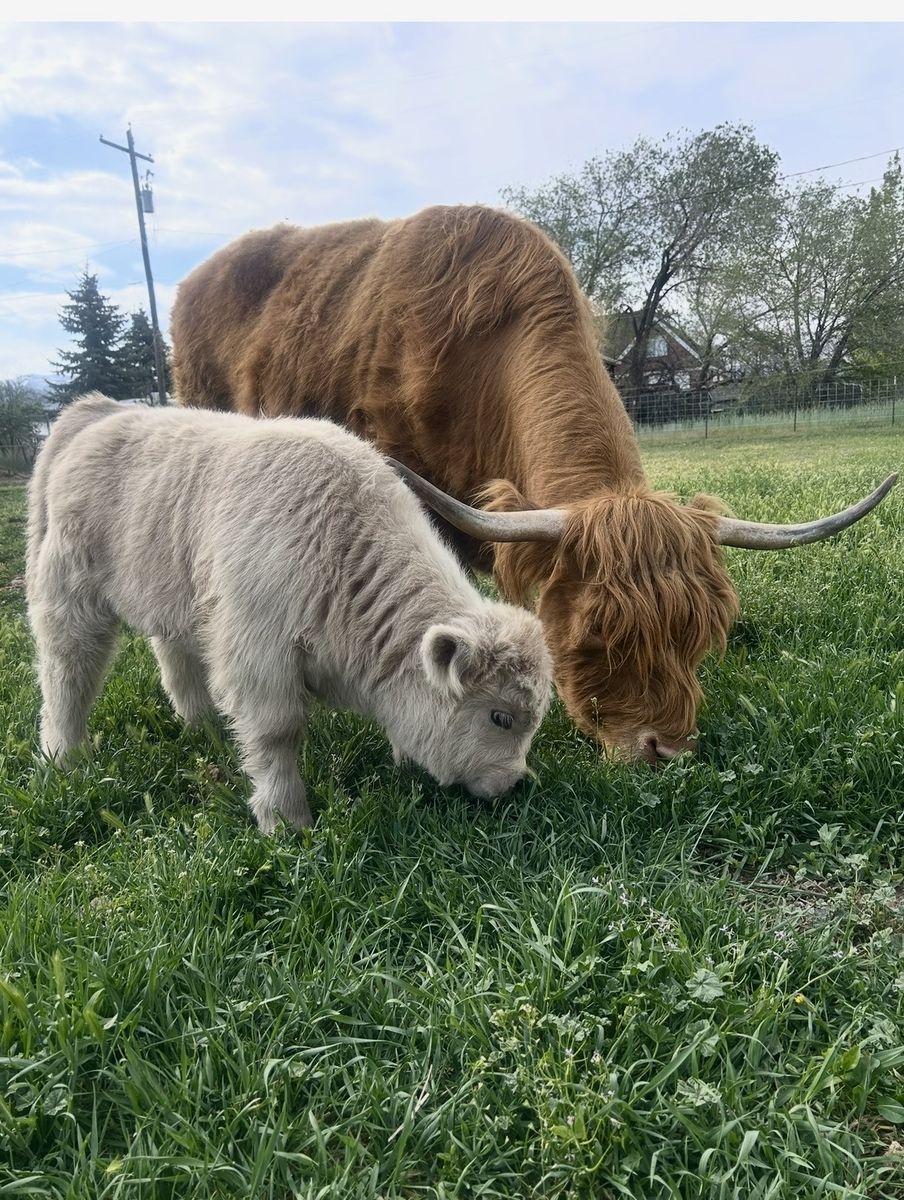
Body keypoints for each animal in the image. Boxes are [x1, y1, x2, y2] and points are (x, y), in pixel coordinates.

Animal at [26, 394, 553, 832]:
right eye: (500, 717)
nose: (515, 784)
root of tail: (100, 411)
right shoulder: (258, 654)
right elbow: (277, 734)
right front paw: (285, 821)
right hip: (70, 595)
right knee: (67, 672)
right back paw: (63, 758)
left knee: (173, 657)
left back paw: (203, 727)